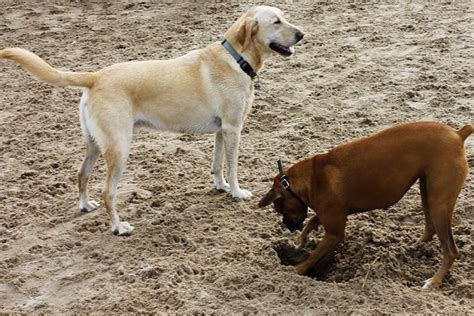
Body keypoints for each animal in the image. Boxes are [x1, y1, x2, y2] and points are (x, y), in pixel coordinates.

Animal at [0, 6, 304, 236]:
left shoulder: (221, 131)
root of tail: (96, 76)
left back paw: (85, 206)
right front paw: (237, 192)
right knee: (108, 191)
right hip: (119, 148)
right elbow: (232, 167)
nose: (302, 34)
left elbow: (217, 165)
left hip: (95, 144)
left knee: (82, 174)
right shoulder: (233, 129)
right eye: (276, 22)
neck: (236, 57)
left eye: (284, 17)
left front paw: (222, 188)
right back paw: (119, 227)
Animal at [258, 121, 472, 288]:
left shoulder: (334, 234)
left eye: (279, 210)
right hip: (427, 190)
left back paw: (434, 281)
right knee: (430, 227)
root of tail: (457, 134)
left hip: (440, 203)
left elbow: (313, 256)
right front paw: (300, 241)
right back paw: (415, 246)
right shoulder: (330, 215)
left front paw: (295, 270)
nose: (286, 225)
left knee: (451, 250)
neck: (313, 178)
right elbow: (311, 222)